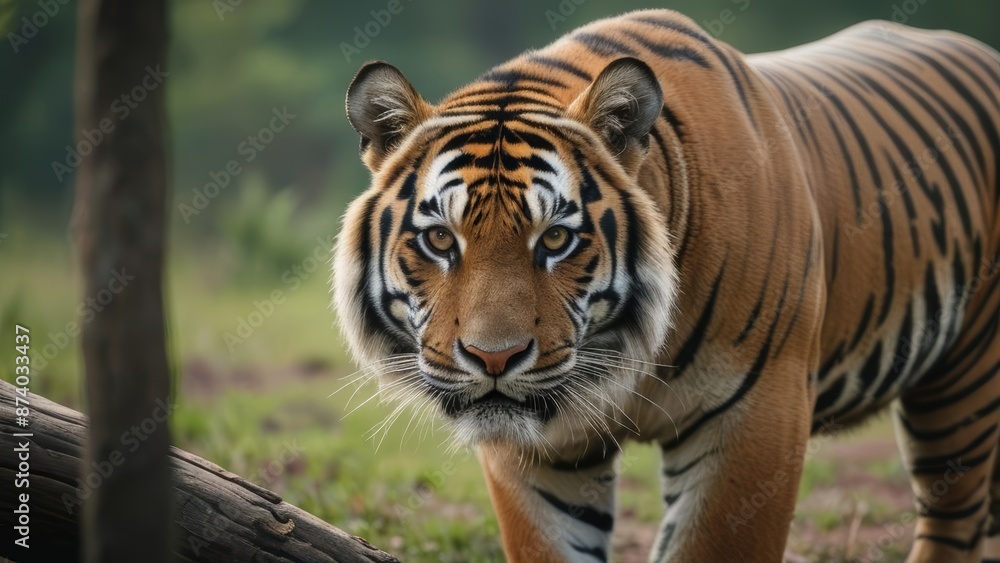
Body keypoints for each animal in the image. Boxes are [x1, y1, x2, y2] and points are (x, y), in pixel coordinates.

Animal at [332, 8, 1000, 562]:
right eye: (441, 241)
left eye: (556, 239)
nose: (494, 359)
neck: (624, 355)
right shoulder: (541, 458)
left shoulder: (756, 419)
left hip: (963, 386)